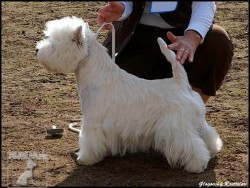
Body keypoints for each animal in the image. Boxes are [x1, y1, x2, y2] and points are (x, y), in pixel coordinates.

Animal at [35, 16, 223, 173]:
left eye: (54, 43)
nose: (37, 50)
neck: (96, 75)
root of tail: (180, 82)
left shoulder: (92, 122)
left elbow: (89, 141)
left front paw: (85, 159)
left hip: (176, 127)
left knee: (191, 145)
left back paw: (197, 165)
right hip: (196, 121)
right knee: (207, 134)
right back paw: (213, 149)